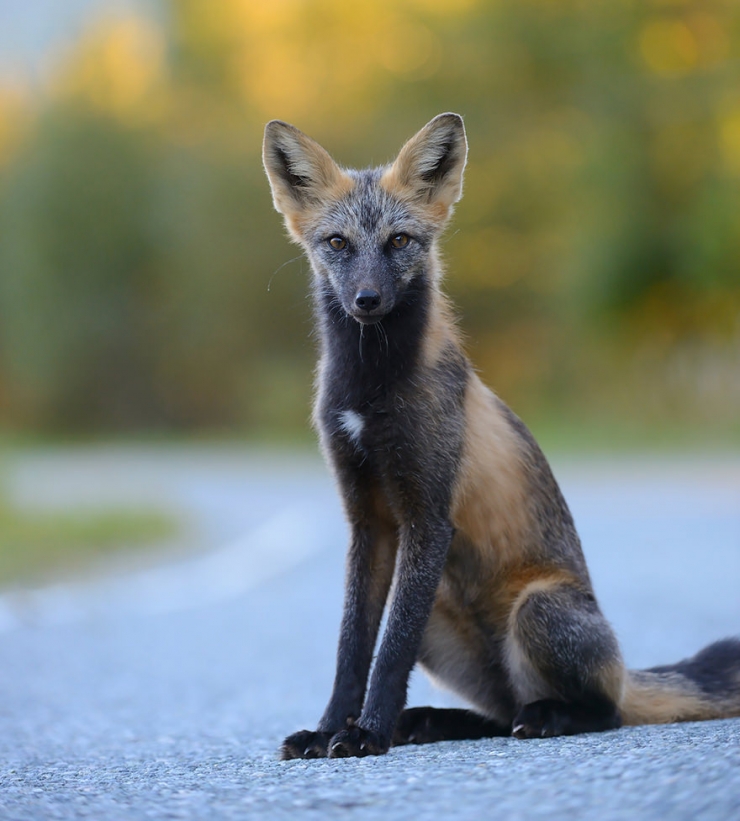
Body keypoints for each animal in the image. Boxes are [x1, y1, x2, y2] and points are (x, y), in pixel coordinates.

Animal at [262, 112, 740, 759]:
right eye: (337, 243)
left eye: (399, 242)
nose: (367, 300)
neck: (370, 391)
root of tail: (623, 670)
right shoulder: (369, 522)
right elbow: (352, 651)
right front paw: (332, 727)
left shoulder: (428, 515)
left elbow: (387, 656)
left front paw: (367, 733)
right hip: (443, 620)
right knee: (499, 712)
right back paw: (434, 721)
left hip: (536, 611)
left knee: (604, 712)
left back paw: (547, 717)